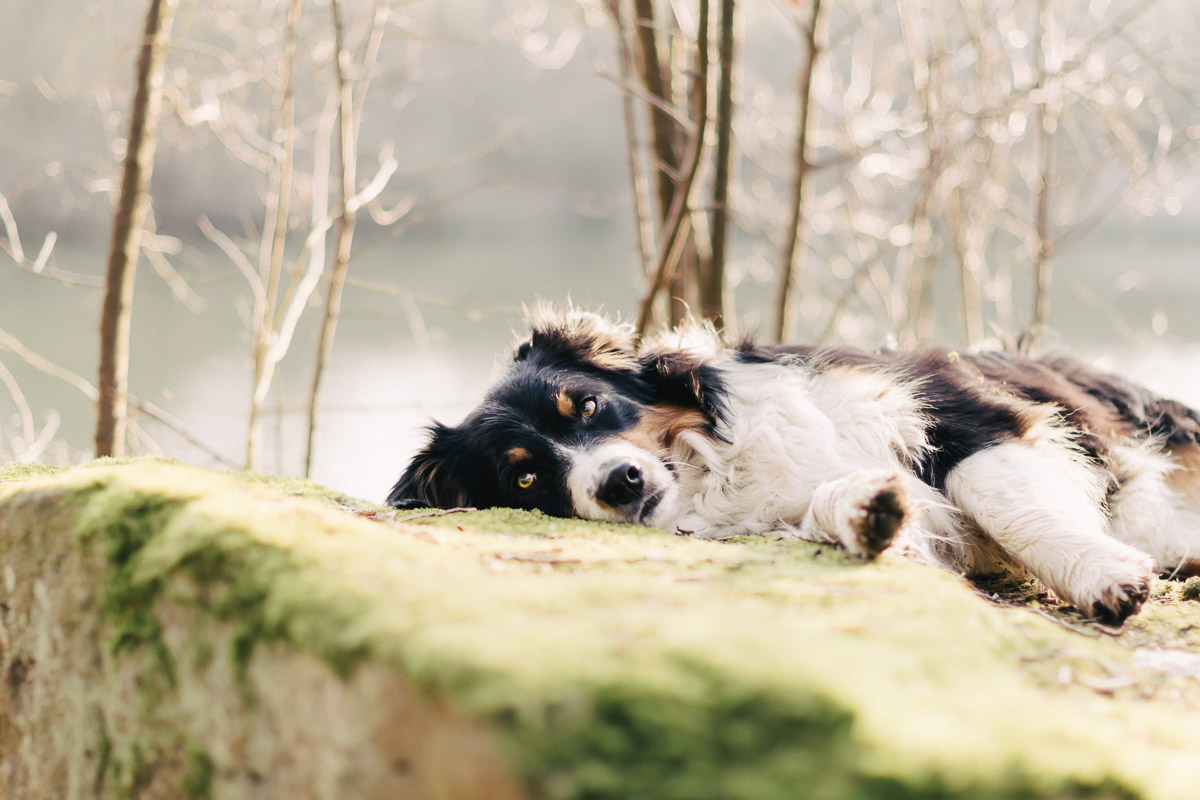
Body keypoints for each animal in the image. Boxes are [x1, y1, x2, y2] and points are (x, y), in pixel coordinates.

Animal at [386, 307, 1200, 623]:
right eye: (525, 479)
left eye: (585, 406)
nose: (620, 483)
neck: (712, 471)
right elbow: (835, 506)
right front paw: (870, 512)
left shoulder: (960, 410)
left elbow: (1004, 500)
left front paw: (1104, 576)